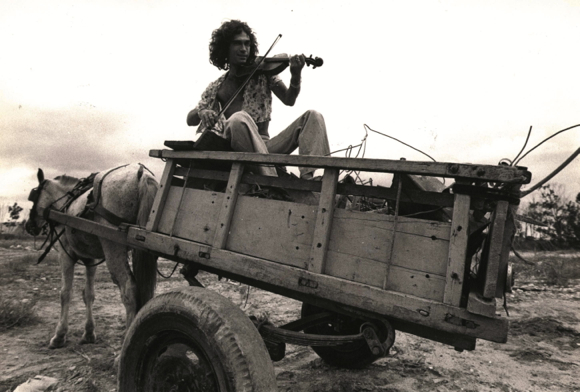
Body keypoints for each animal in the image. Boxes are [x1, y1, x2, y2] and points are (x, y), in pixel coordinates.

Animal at [25, 162, 159, 350]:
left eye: (34, 196)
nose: (29, 226)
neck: (65, 205)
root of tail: (141, 175)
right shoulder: (91, 260)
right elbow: (88, 294)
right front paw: (89, 333)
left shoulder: (66, 255)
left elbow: (65, 293)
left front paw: (59, 336)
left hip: (113, 247)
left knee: (129, 289)